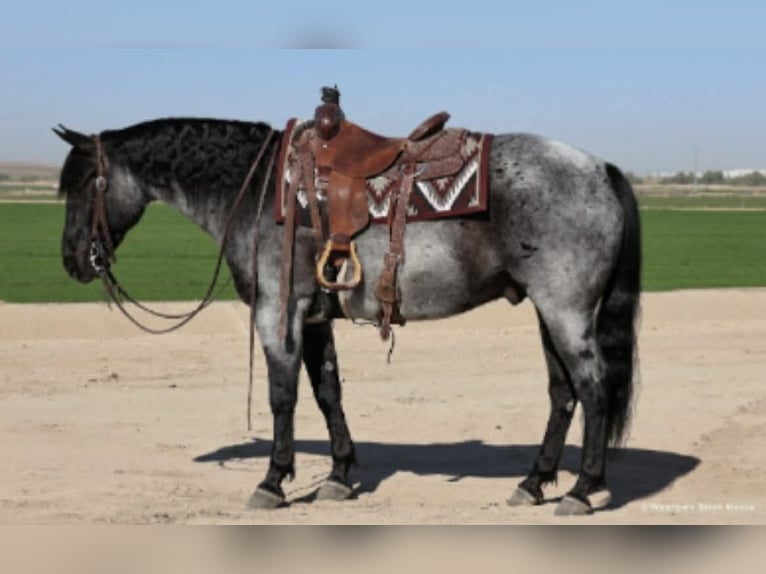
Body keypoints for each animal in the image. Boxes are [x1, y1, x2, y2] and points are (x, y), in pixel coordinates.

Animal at [54, 115, 640, 516]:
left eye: (83, 185)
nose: (73, 261)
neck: (259, 190)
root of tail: (602, 170)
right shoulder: (314, 317)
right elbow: (327, 392)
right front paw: (338, 475)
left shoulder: (279, 311)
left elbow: (283, 396)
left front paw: (272, 481)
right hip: (548, 311)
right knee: (563, 394)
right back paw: (534, 483)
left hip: (565, 310)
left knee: (593, 389)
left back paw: (582, 490)